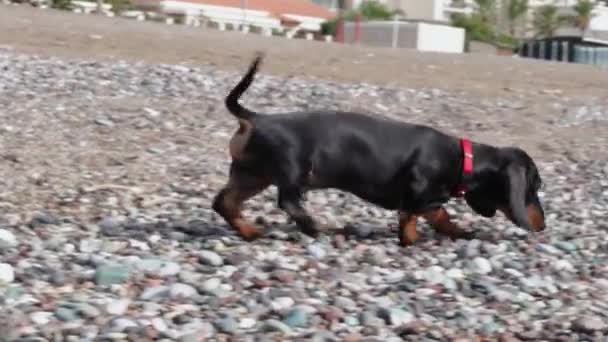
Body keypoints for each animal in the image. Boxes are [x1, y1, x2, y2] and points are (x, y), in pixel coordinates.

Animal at [213, 54, 548, 246]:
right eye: (535, 186)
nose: (543, 225)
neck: (462, 159)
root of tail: (255, 118)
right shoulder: (416, 190)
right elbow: (412, 217)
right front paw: (410, 241)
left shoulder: (430, 199)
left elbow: (440, 215)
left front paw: (460, 233)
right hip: (292, 170)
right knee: (287, 202)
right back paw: (314, 227)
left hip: (252, 175)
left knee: (224, 203)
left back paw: (249, 232)